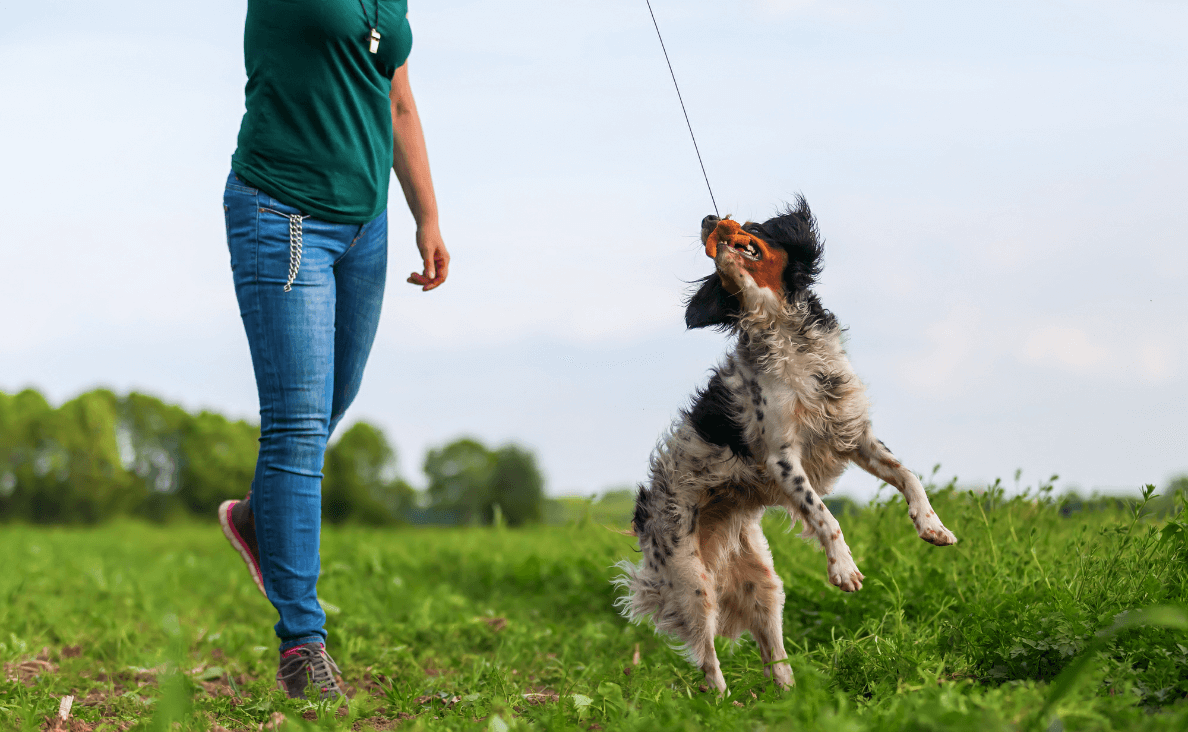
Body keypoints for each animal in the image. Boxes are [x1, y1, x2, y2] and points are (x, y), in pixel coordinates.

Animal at [613, 198, 955, 693]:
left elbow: (909, 475)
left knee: (774, 653)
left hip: (765, 585)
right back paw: (722, 698)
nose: (708, 219)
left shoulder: (854, 434)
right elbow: (825, 516)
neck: (783, 328)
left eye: (753, 226)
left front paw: (931, 525)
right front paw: (843, 568)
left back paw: (790, 696)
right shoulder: (782, 457)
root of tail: (643, 514)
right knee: (708, 657)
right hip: (693, 582)